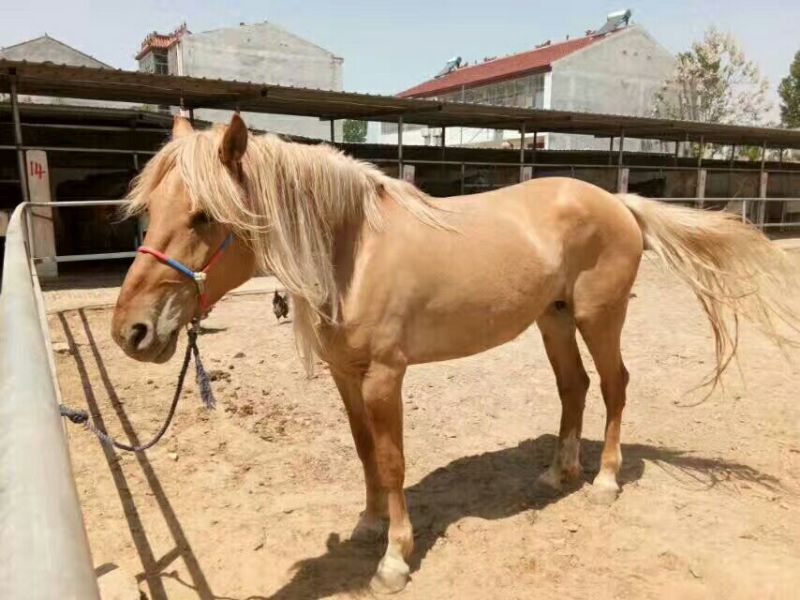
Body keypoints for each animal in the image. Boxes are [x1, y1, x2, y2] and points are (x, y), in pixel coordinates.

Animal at [112, 115, 799, 593]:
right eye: (150, 210)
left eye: (204, 216)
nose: (131, 333)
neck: (352, 251)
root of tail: (618, 202)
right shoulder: (345, 376)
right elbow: (364, 452)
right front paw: (368, 526)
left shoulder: (385, 377)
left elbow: (392, 462)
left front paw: (394, 558)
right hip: (553, 321)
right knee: (573, 388)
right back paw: (557, 474)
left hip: (599, 319)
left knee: (614, 386)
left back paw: (603, 480)